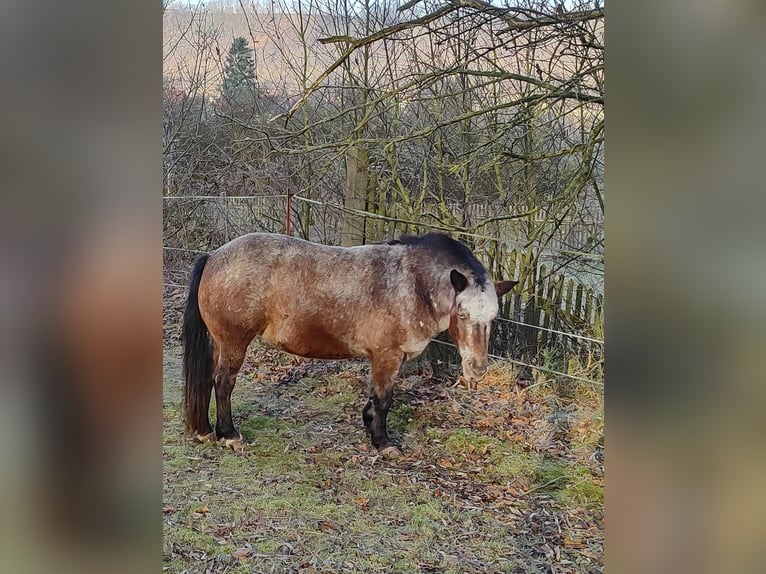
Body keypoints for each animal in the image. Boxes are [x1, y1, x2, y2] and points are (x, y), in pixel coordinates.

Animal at [183, 233, 520, 454]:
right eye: (462, 315)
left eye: (494, 317)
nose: (477, 369)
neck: (411, 283)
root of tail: (214, 256)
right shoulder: (387, 355)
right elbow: (385, 398)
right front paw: (383, 442)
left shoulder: (386, 358)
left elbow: (376, 395)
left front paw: (368, 423)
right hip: (234, 342)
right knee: (223, 383)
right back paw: (229, 435)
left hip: (220, 343)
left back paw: (205, 431)